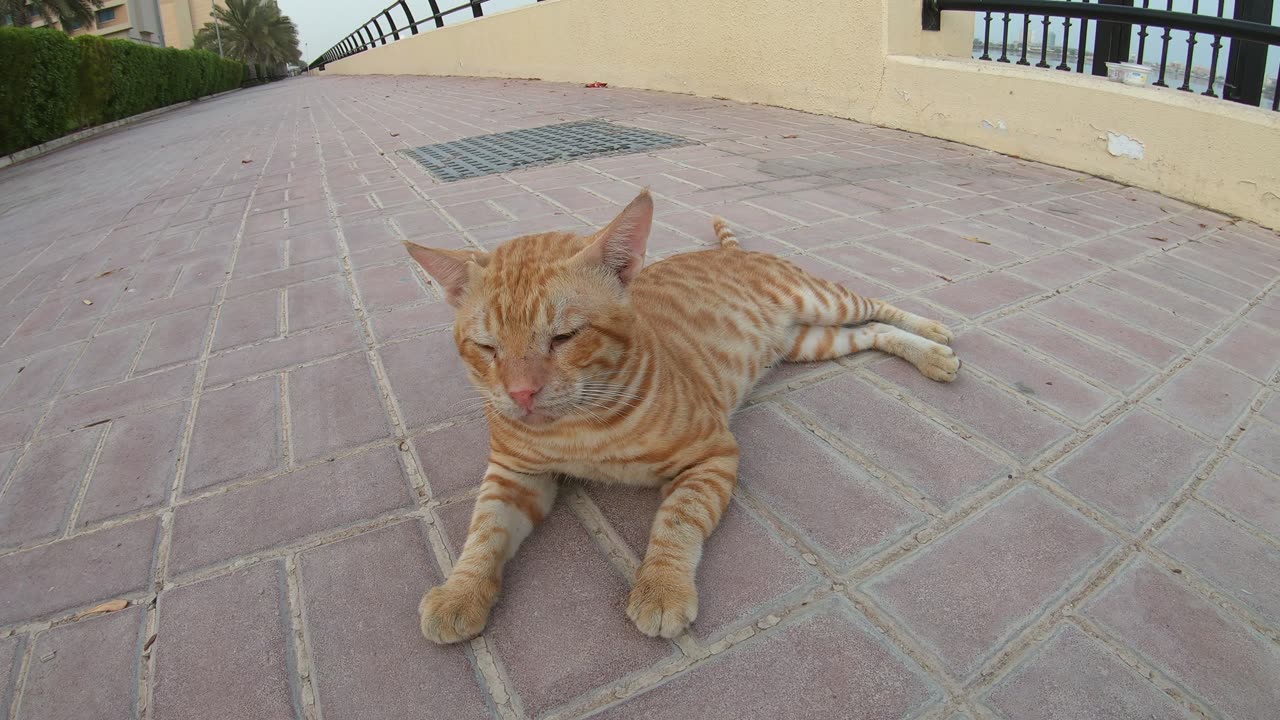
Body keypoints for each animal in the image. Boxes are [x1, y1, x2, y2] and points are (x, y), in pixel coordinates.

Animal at [404, 189, 957, 638]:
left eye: (564, 336)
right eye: (486, 346)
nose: (521, 394)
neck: (578, 429)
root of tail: (730, 251)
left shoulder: (712, 454)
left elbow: (677, 520)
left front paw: (662, 586)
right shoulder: (514, 473)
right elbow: (483, 531)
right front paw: (461, 591)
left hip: (822, 300)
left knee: (879, 307)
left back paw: (933, 336)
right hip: (809, 342)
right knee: (870, 333)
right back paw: (927, 352)